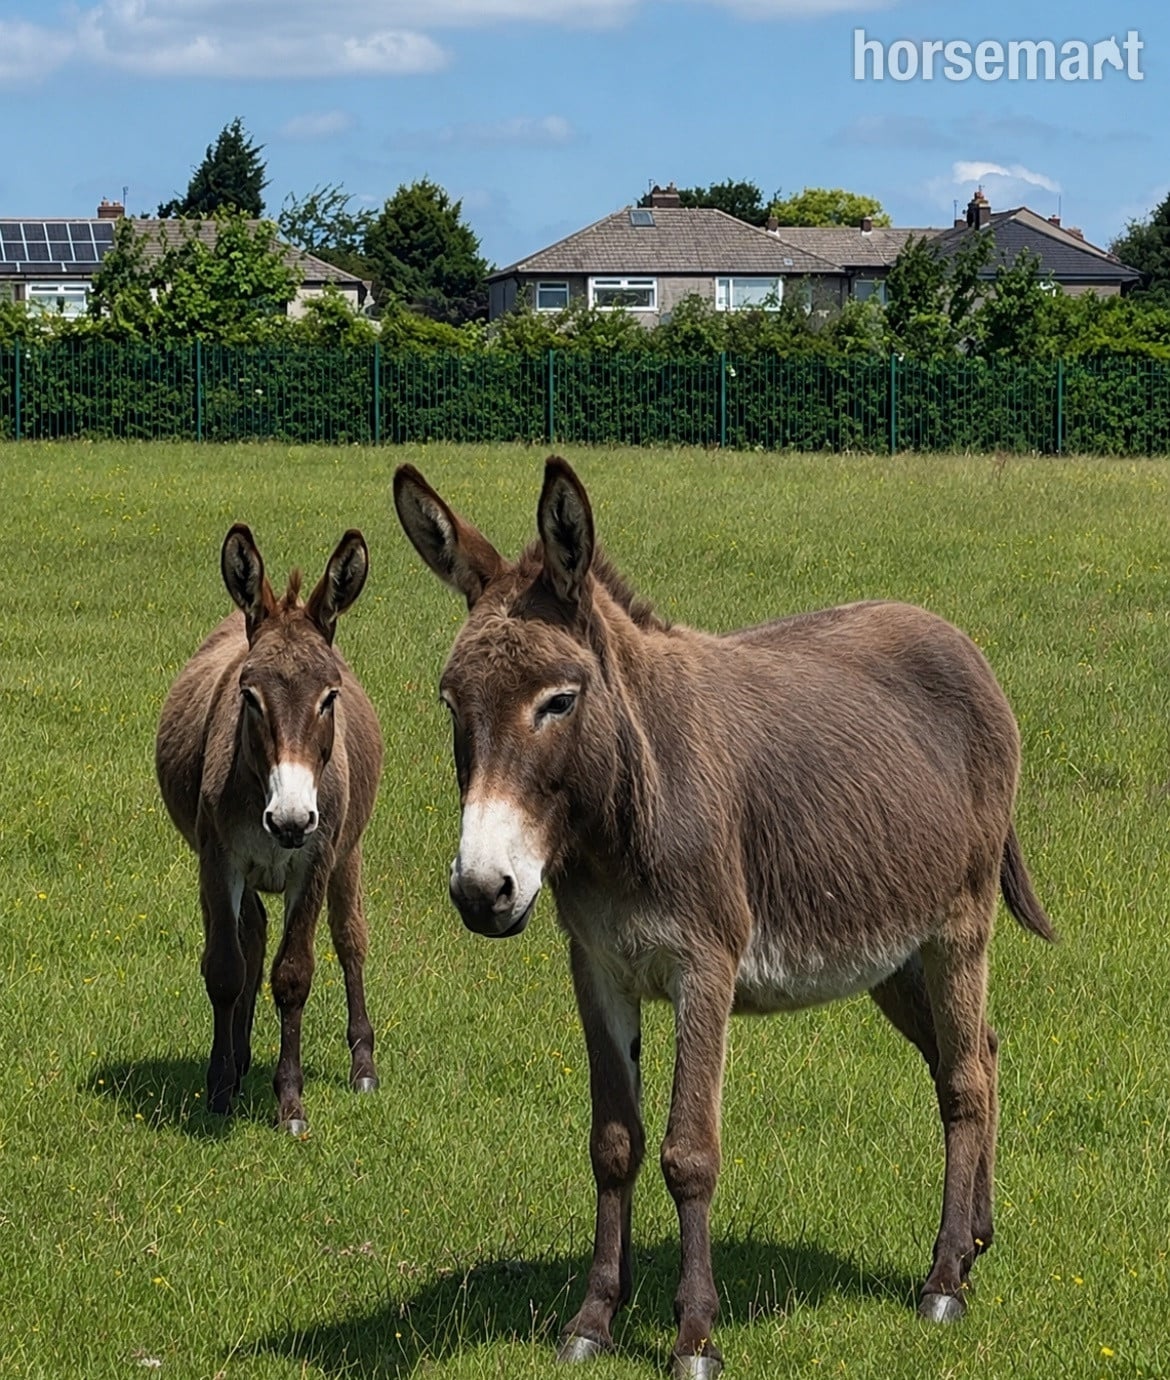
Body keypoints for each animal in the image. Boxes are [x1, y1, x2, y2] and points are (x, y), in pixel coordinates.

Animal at [155, 524, 384, 1133]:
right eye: (248, 696)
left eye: (329, 697)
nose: (289, 819)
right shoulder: (219, 860)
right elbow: (225, 970)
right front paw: (219, 1088)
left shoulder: (315, 860)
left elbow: (294, 974)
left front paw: (290, 1103)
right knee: (251, 939)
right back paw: (238, 1060)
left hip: (349, 854)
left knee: (350, 940)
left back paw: (363, 1066)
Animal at [393, 457, 1055, 1378]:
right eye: (452, 705)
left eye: (558, 703)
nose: (480, 891)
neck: (623, 813)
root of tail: (954, 637)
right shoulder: (598, 966)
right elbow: (614, 1143)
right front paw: (592, 1321)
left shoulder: (703, 966)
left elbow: (689, 1152)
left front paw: (694, 1336)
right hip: (892, 951)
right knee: (979, 1056)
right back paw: (978, 1239)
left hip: (959, 925)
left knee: (961, 1083)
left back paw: (945, 1279)